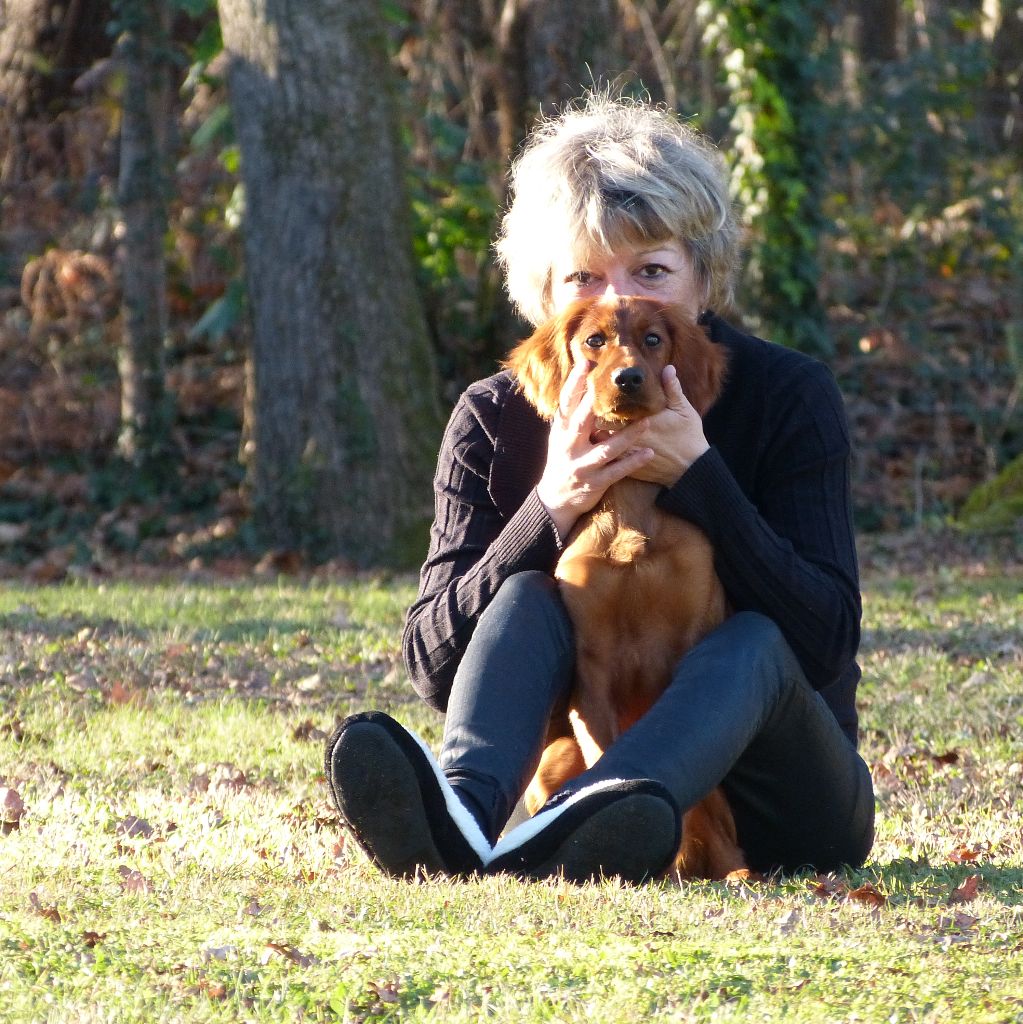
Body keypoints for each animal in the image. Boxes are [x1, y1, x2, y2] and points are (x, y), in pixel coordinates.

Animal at [507, 296, 749, 880]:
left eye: (654, 339)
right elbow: (606, 759)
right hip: (551, 763)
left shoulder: (690, 638)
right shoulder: (592, 667)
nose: (629, 378)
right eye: (594, 341)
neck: (632, 504)